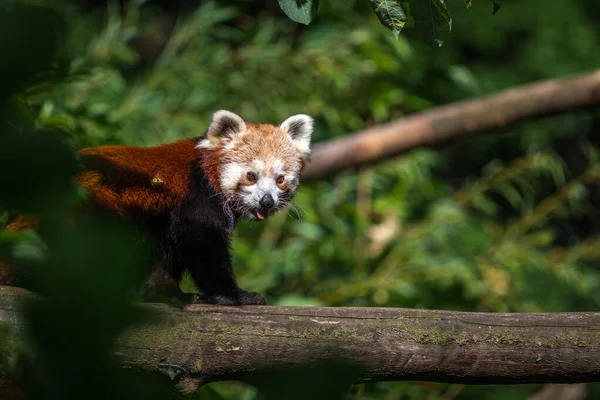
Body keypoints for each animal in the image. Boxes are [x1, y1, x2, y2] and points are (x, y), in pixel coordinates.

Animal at [1, 111, 314, 304]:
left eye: (280, 179)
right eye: (251, 176)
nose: (266, 201)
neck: (207, 172)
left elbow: (168, 256)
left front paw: (166, 293)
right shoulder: (196, 199)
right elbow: (204, 245)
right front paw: (234, 296)